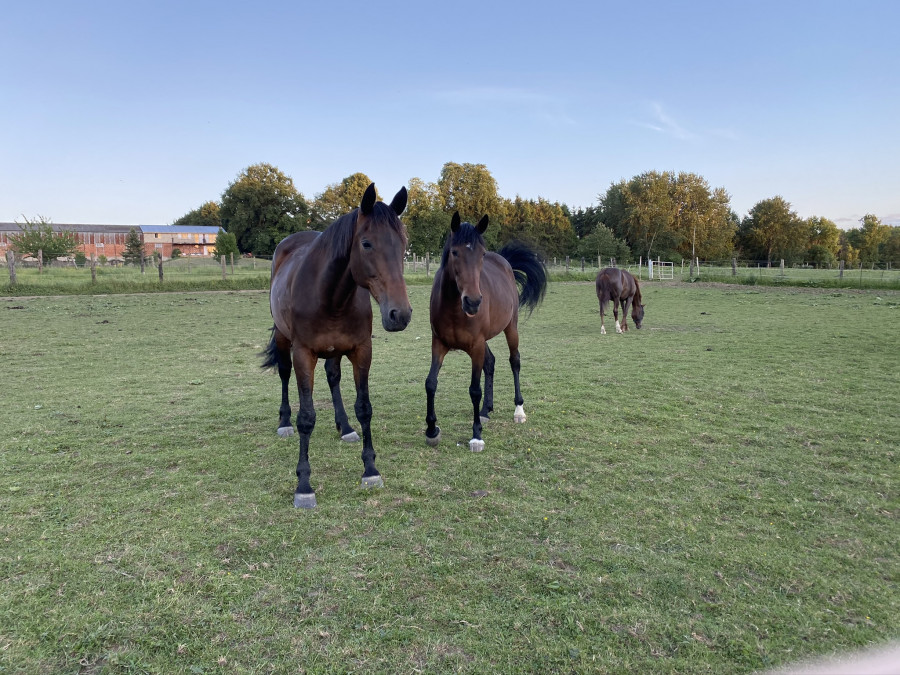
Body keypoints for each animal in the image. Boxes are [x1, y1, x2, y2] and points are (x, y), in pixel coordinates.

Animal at [262, 183, 412, 508]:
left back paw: (345, 427)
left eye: (404, 245)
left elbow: (364, 407)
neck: (328, 296)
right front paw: (304, 485)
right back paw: (284, 422)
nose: (400, 314)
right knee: (284, 374)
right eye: (366, 244)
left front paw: (370, 470)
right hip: (284, 339)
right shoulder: (303, 354)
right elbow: (306, 417)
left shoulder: (361, 351)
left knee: (333, 377)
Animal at [425, 212, 548, 452]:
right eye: (455, 252)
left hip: (510, 328)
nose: (473, 302)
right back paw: (485, 411)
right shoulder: (439, 344)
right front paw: (432, 430)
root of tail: (504, 262)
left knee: (514, 361)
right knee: (490, 363)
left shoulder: (476, 346)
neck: (454, 309)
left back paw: (518, 410)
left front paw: (476, 436)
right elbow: (431, 383)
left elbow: (474, 389)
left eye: (481, 254)